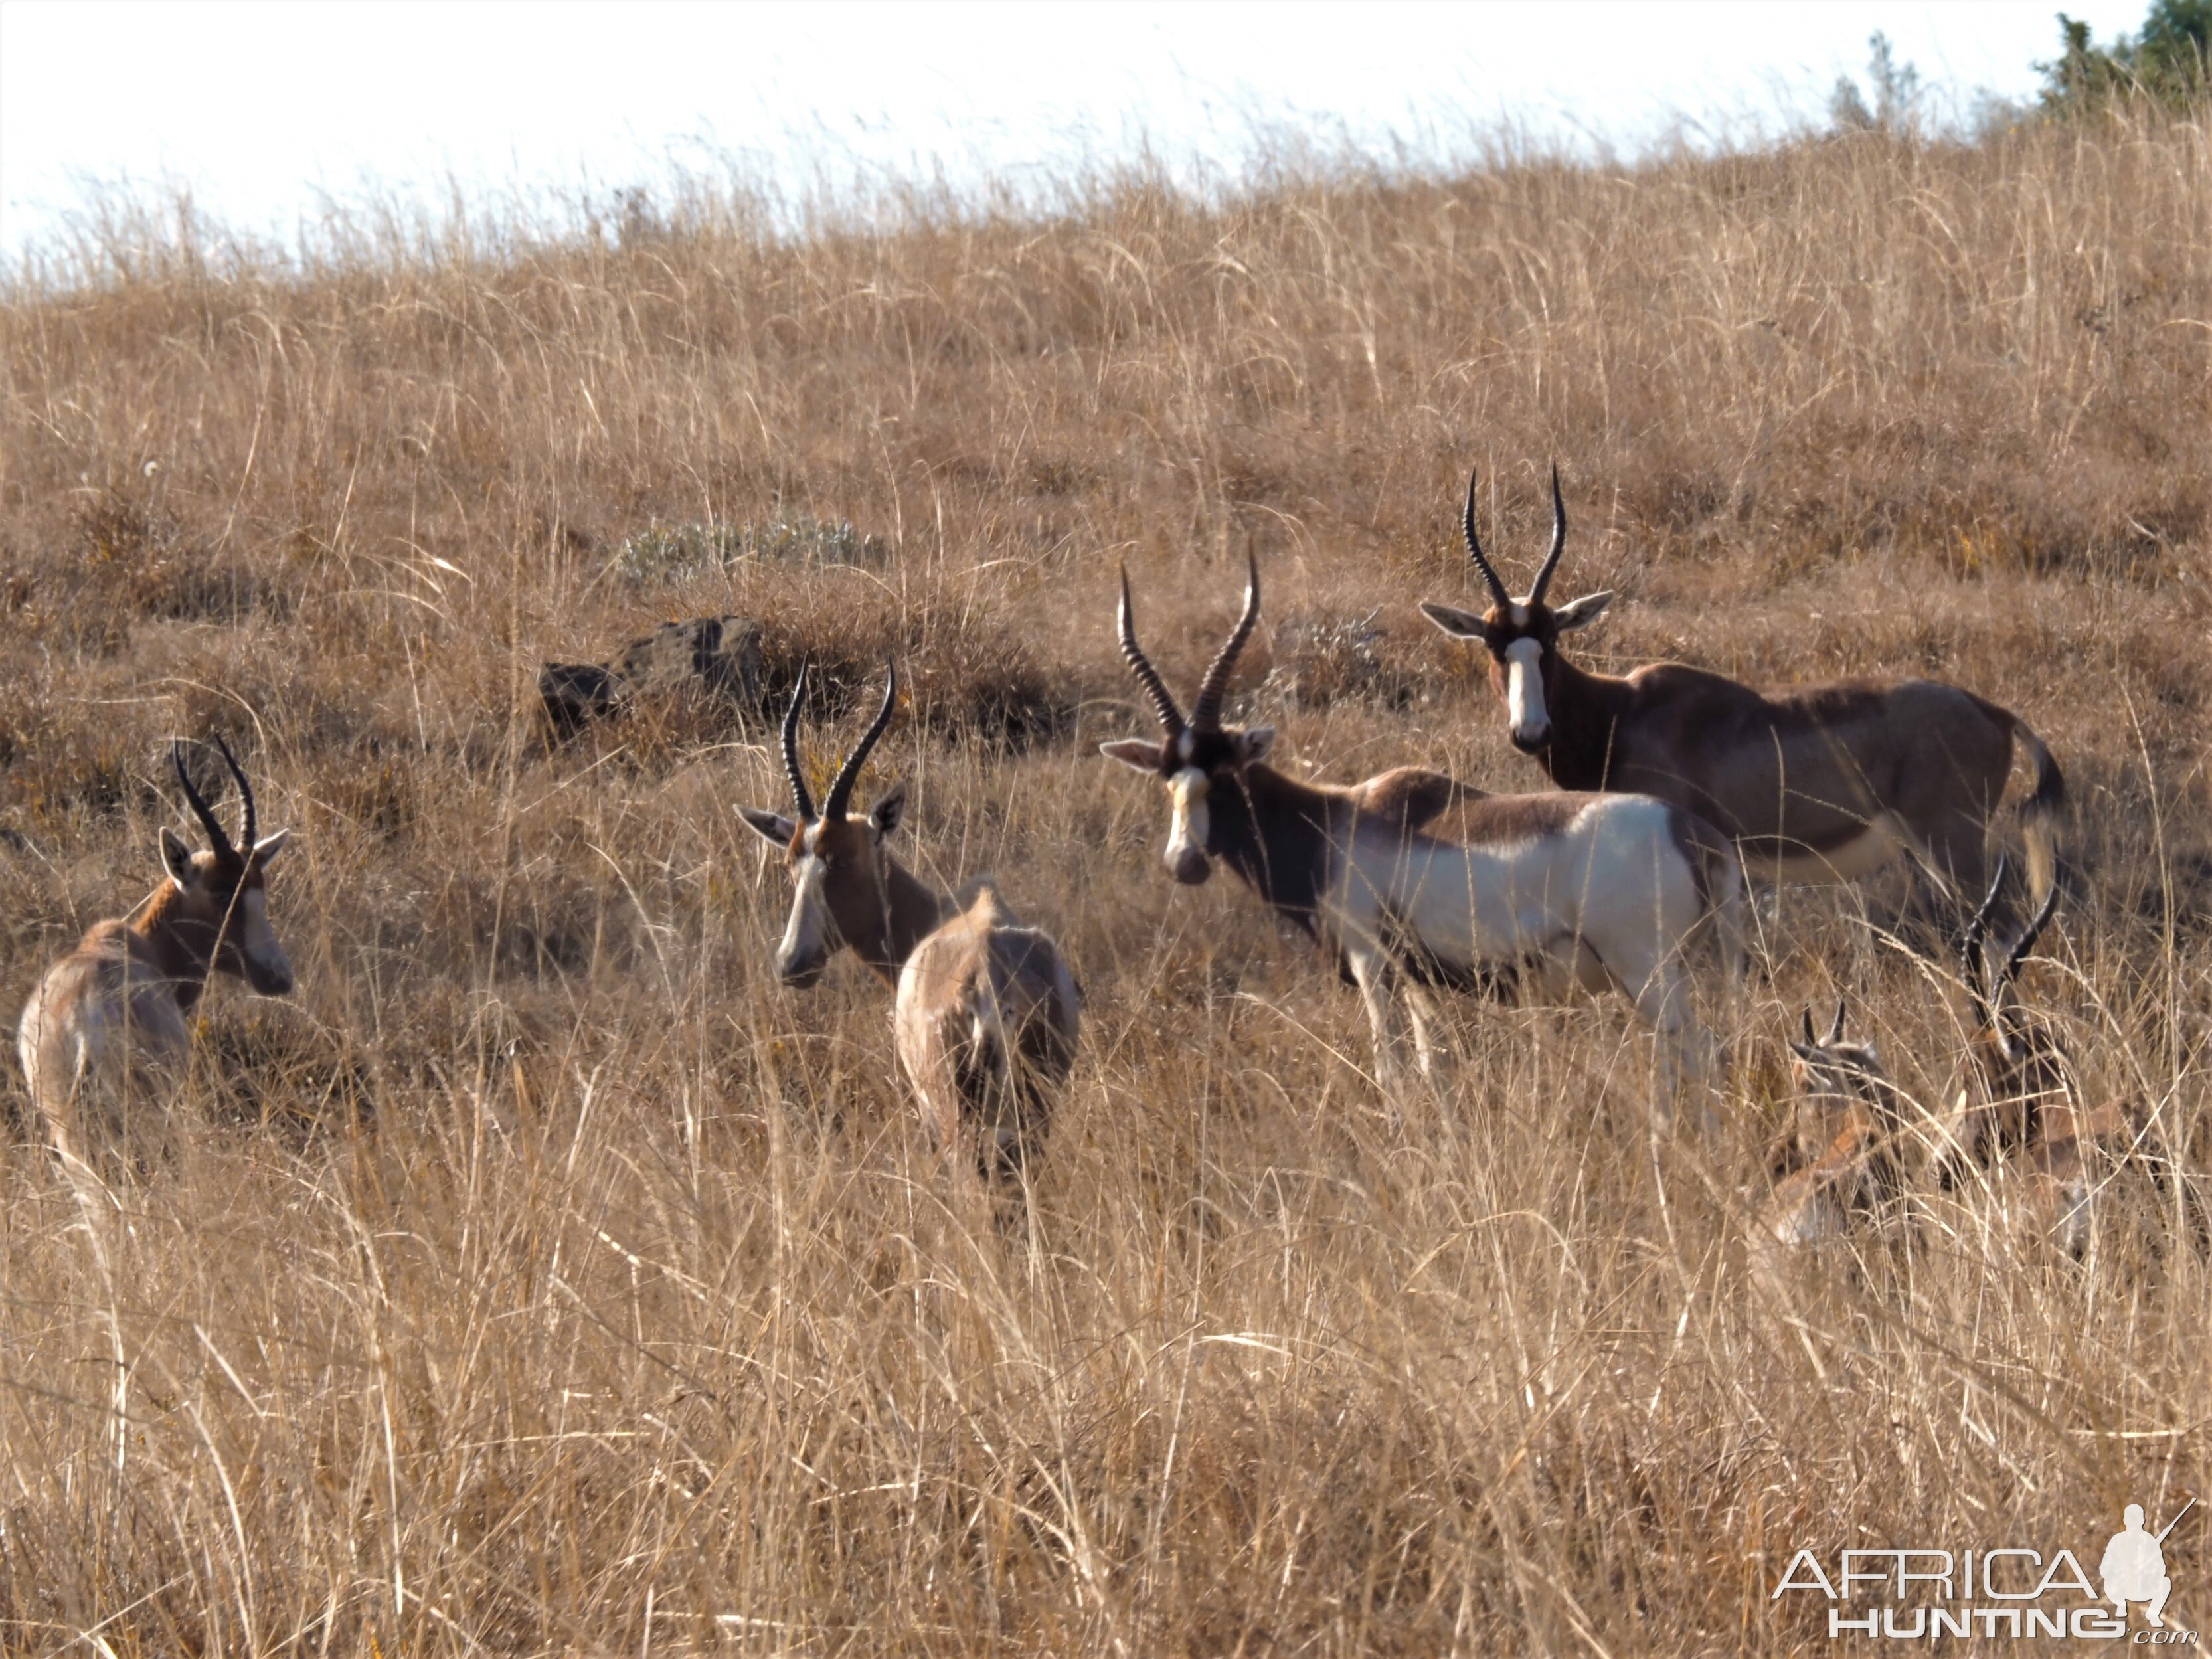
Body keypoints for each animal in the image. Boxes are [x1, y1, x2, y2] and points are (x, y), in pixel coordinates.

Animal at [18, 739, 294, 1185]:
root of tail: (83, 1021)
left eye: (259, 887)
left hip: (69, 1133)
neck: (127, 946)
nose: (278, 976)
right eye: (222, 894)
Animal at [738, 667, 1084, 1185]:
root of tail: (987, 985)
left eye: (843, 859)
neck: (949, 912)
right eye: (789, 862)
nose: (791, 964)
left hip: (958, 1122)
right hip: (1028, 1118)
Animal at [1101, 553, 1743, 1110]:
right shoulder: (1418, 984)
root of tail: (1695, 837)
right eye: (1168, 775)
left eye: (1222, 771)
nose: (1183, 861)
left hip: (1645, 974)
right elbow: (1434, 1067)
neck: (1341, 820)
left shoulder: (1372, 965)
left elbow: (1392, 1070)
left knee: (1700, 1054)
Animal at [1424, 464, 2061, 924]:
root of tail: (1992, 713)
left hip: (1951, 847)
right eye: (1493, 644)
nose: (1530, 732)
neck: (1623, 713)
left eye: (1551, 640)